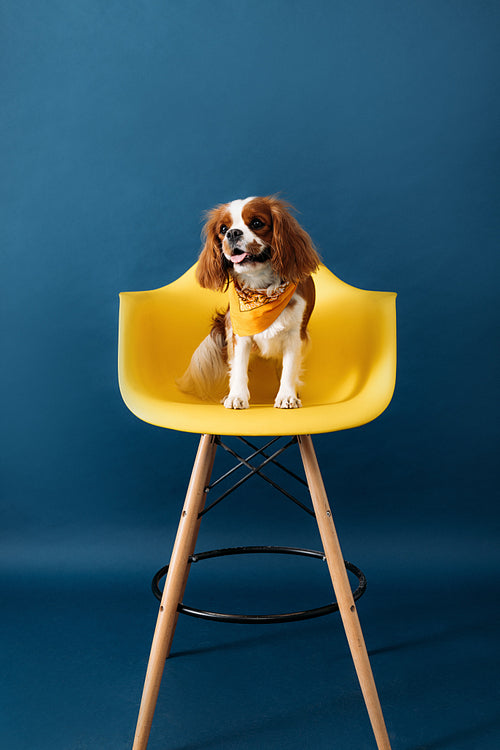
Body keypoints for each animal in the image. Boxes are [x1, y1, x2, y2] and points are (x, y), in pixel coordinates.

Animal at [178, 197, 320, 408]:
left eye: (257, 223)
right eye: (223, 228)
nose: (233, 232)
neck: (261, 288)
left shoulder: (295, 334)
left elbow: (289, 369)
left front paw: (287, 396)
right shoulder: (238, 333)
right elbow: (238, 368)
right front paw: (237, 396)